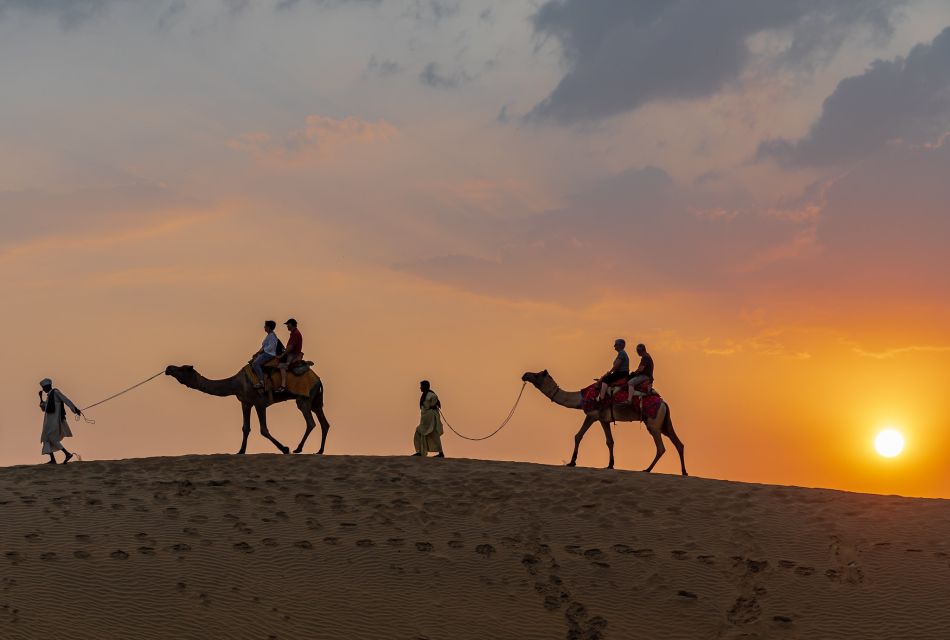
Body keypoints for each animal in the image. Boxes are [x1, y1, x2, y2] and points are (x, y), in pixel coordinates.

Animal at [162, 364, 330, 456]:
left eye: (183, 368)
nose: (169, 368)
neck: (237, 383)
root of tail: (319, 380)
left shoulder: (259, 402)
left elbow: (263, 430)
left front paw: (284, 448)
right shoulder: (245, 403)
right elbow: (245, 427)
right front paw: (240, 451)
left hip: (303, 398)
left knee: (311, 422)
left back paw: (298, 449)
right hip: (316, 400)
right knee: (324, 423)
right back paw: (319, 451)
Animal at [524, 370, 688, 476]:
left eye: (537, 375)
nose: (525, 374)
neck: (580, 399)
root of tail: (664, 403)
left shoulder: (591, 415)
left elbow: (578, 436)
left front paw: (572, 462)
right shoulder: (604, 420)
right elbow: (610, 441)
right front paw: (610, 465)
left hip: (653, 423)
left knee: (661, 447)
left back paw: (647, 469)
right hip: (664, 422)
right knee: (678, 443)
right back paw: (684, 472)